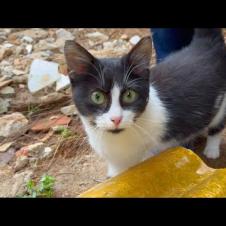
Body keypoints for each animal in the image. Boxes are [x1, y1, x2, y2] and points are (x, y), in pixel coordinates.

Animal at [63, 28, 226, 177]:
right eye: (97, 97)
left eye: (129, 95)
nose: (116, 119)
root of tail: (205, 43)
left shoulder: (161, 147)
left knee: (217, 124)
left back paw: (211, 149)